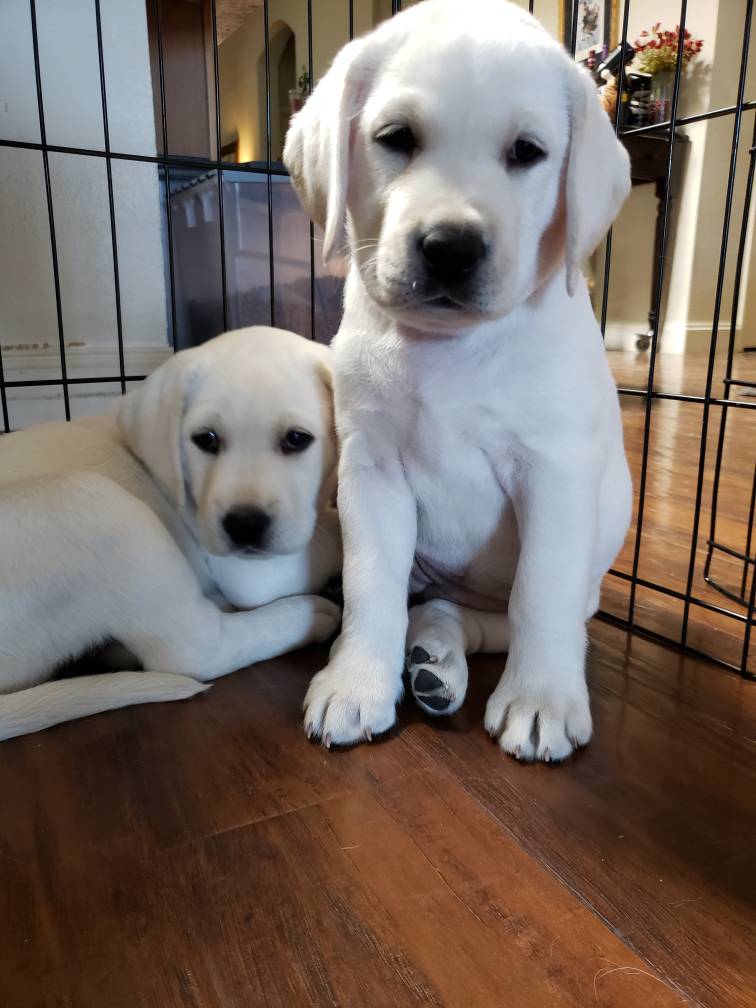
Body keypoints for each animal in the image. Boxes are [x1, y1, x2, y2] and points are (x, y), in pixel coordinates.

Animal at [0, 328, 342, 741]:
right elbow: (327, 539)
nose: (243, 525)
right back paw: (310, 613)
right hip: (99, 505)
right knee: (195, 648)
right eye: (206, 439)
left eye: (296, 439)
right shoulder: (249, 572)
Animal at [286, 0, 637, 758]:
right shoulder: (371, 471)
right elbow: (372, 586)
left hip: (577, 586)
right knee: (437, 606)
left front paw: (540, 700)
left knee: (509, 617)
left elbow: (540, 591)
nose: (450, 248)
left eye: (527, 152)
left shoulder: (555, 471)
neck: (447, 348)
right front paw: (356, 680)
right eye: (396, 138)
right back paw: (429, 660)